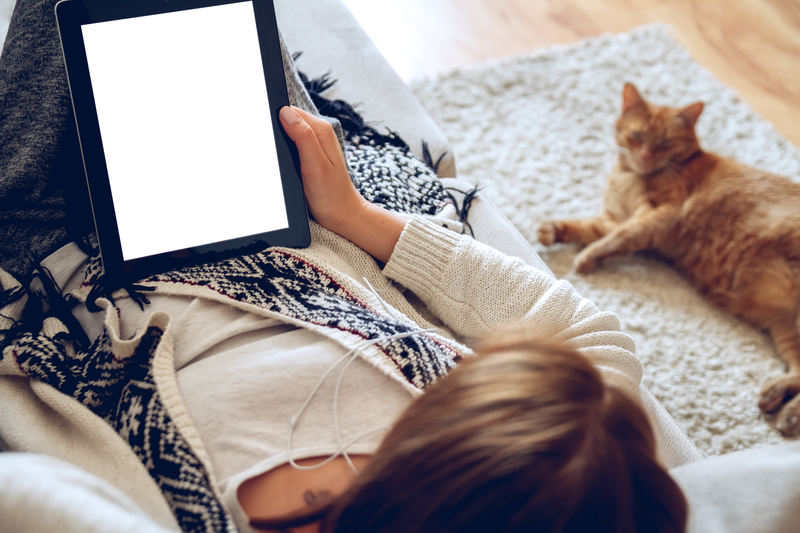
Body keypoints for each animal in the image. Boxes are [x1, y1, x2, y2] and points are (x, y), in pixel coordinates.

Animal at [536, 82, 800, 432]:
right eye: (637, 135)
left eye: (664, 142)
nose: (646, 155)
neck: (628, 176)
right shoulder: (613, 219)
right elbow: (586, 228)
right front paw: (553, 230)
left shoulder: (657, 217)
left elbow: (616, 239)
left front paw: (587, 258)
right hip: (787, 328)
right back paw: (777, 399)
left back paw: (788, 413)